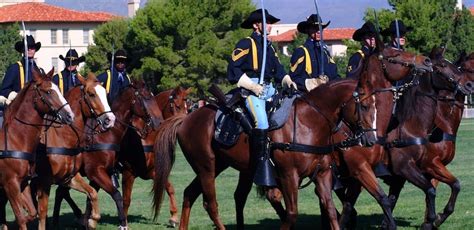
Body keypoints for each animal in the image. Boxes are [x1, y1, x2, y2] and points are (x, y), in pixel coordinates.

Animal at [0, 67, 74, 229]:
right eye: (48, 91)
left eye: (58, 89)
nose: (70, 116)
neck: (17, 140)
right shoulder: (10, 185)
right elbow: (21, 218)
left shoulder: (22, 183)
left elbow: (33, 213)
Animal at [33, 73, 115, 230]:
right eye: (91, 94)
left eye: (105, 94)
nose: (110, 119)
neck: (62, 137)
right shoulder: (45, 181)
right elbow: (42, 210)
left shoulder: (69, 178)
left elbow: (92, 193)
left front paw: (91, 219)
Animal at [51, 80, 163, 229]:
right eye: (147, 97)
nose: (160, 122)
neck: (106, 134)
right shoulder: (97, 172)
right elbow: (117, 195)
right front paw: (122, 223)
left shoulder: (99, 175)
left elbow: (90, 197)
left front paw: (89, 221)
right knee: (60, 193)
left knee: (61, 193)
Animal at [118, 86, 191, 226]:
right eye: (176, 106)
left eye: (188, 107)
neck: (145, 137)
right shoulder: (128, 172)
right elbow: (126, 199)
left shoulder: (151, 171)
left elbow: (169, 187)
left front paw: (174, 216)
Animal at [152, 45, 434, 229]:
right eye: (364, 105)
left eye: (376, 106)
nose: (426, 61)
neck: (311, 122)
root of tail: (188, 117)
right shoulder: (295, 176)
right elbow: (293, 213)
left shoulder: (325, 175)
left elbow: (333, 211)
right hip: (208, 168)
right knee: (212, 204)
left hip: (222, 166)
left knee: (193, 194)